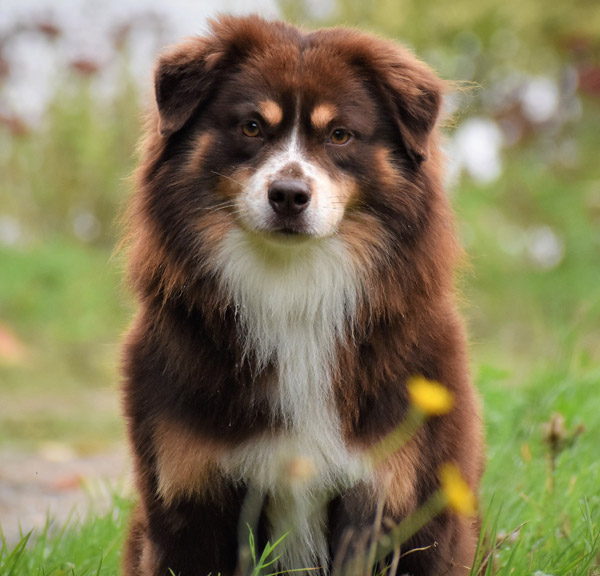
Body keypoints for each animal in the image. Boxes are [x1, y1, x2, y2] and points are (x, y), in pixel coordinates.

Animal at [120, 13, 482, 576]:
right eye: (251, 126)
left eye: (339, 135)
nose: (289, 196)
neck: (293, 290)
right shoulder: (189, 492)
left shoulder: (397, 492)